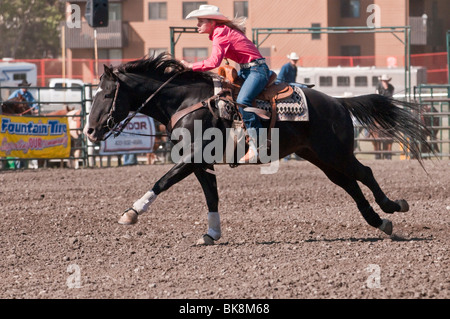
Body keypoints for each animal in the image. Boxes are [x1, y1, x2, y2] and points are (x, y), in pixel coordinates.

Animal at [83, 53, 432, 246]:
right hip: (320, 158)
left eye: (106, 94)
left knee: (365, 172)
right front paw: (212, 234)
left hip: (336, 153)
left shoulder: (193, 158)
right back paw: (380, 222)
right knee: (350, 184)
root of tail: (337, 102)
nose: (89, 131)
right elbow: (210, 196)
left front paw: (130, 213)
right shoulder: (200, 163)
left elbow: (162, 181)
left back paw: (392, 207)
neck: (186, 101)